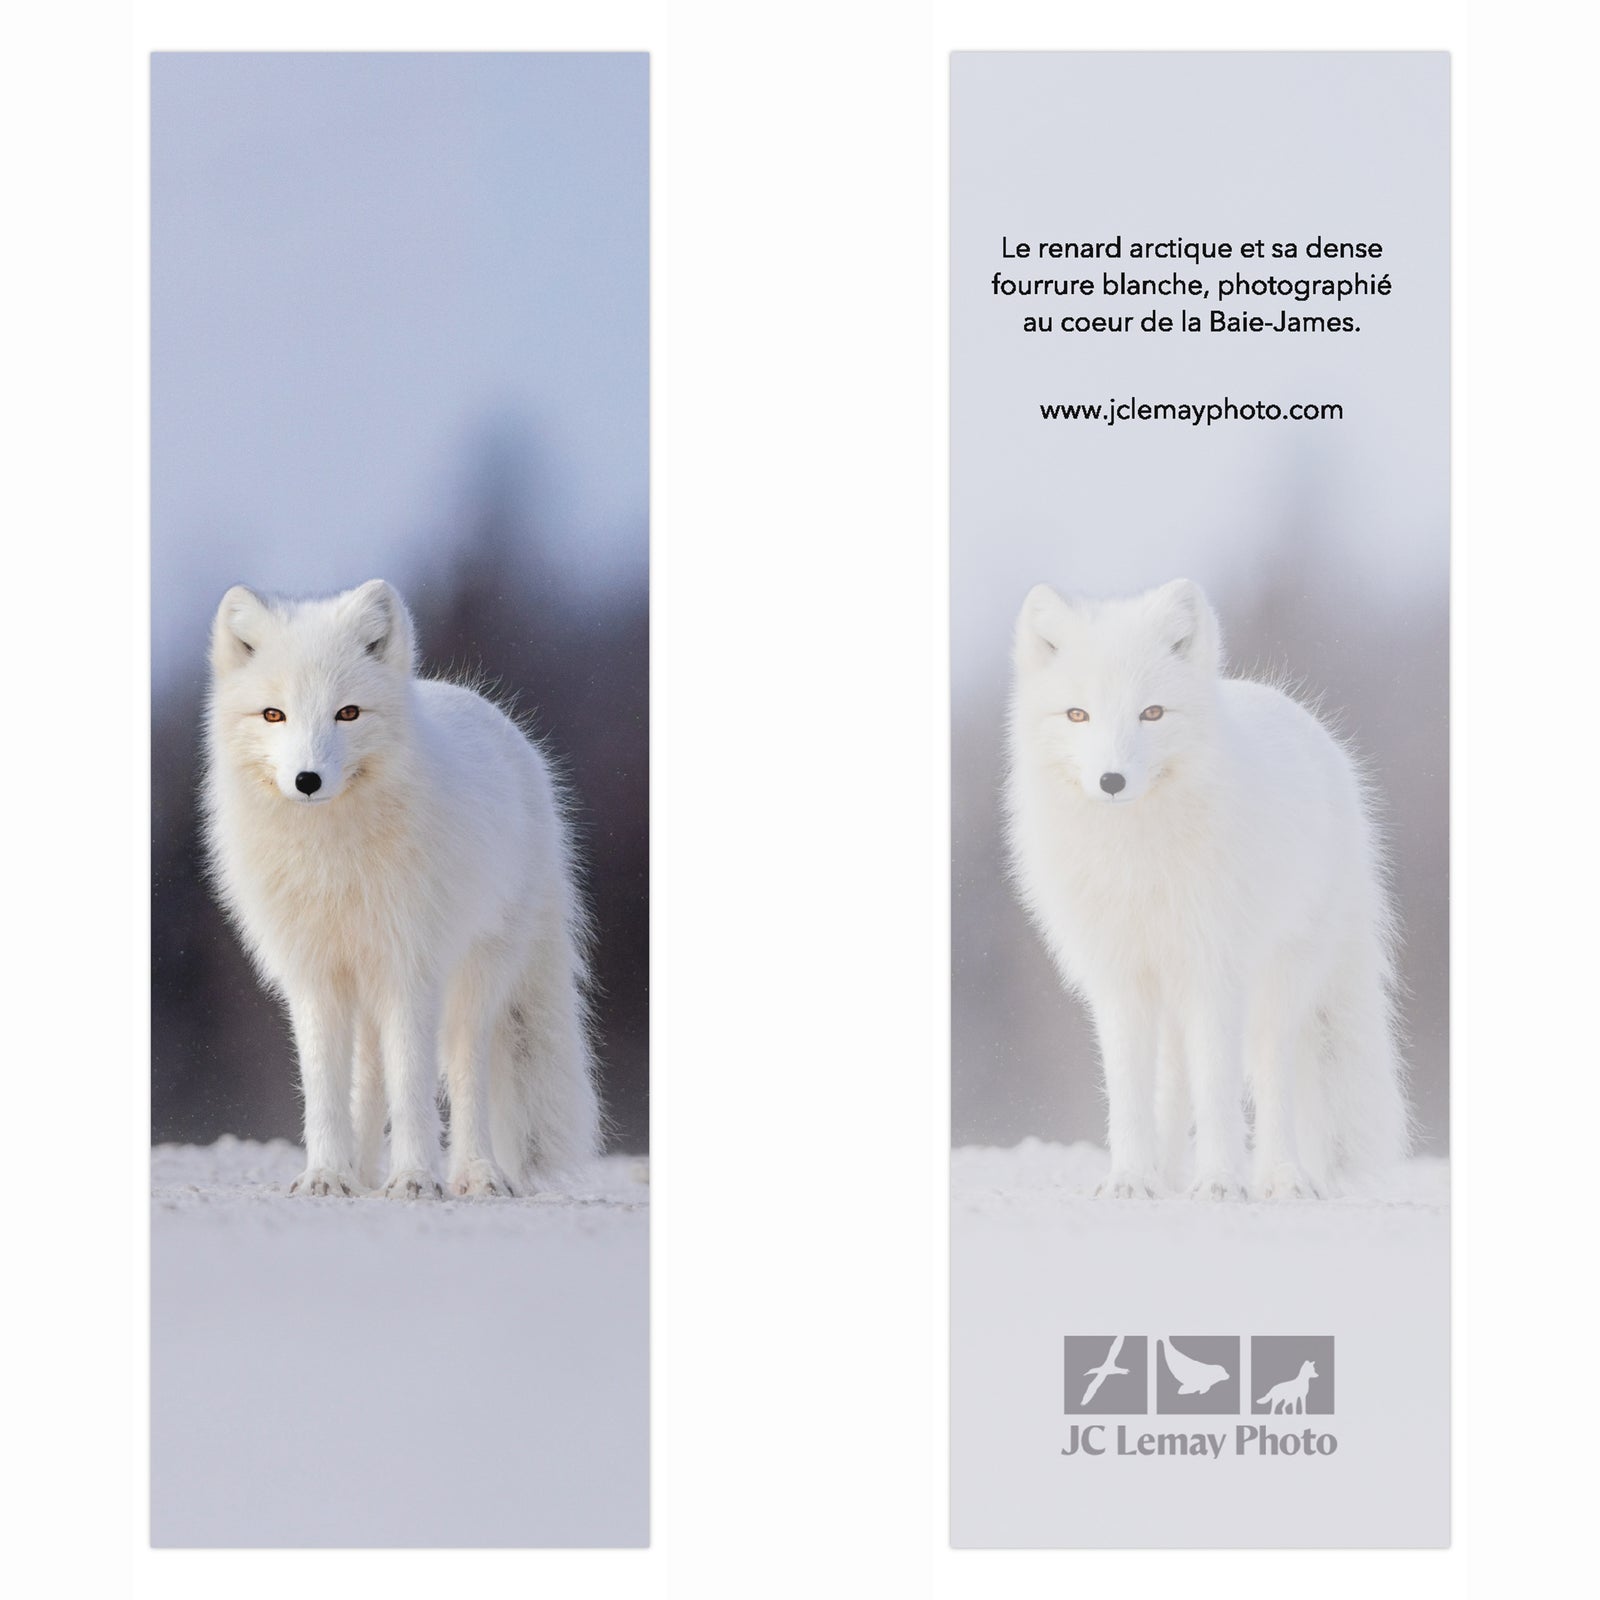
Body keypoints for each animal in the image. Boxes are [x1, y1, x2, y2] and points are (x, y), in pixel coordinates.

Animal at [202, 578, 601, 1199]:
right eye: (273, 714)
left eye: (347, 713)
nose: (308, 780)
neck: (333, 860)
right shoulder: (313, 975)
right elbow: (325, 1088)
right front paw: (325, 1175)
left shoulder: (410, 967)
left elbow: (412, 1083)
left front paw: (414, 1178)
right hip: (365, 989)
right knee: (367, 1079)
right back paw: (361, 1174)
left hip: (473, 980)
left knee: (465, 1073)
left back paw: (476, 1173)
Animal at [1004, 578, 1409, 1200]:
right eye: (1078, 715)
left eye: (1151, 713)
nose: (1112, 781)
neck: (1138, 859)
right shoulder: (1119, 978)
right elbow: (1129, 1094)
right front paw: (1130, 1180)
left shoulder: (1214, 970)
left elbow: (1218, 1089)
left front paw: (1219, 1182)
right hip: (1173, 994)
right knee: (1172, 1085)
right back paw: (1167, 1176)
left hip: (1277, 983)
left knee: (1271, 1078)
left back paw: (1280, 1177)